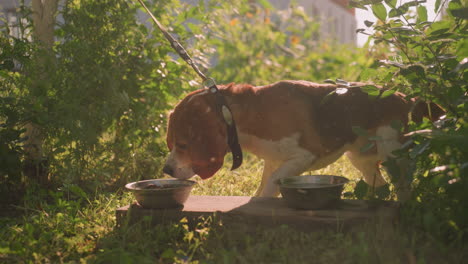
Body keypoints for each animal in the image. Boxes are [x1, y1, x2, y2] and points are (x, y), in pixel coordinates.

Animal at [163, 81, 440, 200]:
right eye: (171, 144)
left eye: (184, 145)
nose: (166, 170)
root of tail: (405, 96)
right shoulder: (273, 160)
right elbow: (264, 186)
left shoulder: (303, 156)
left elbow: (272, 185)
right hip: (360, 158)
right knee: (381, 186)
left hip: (393, 153)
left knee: (402, 185)